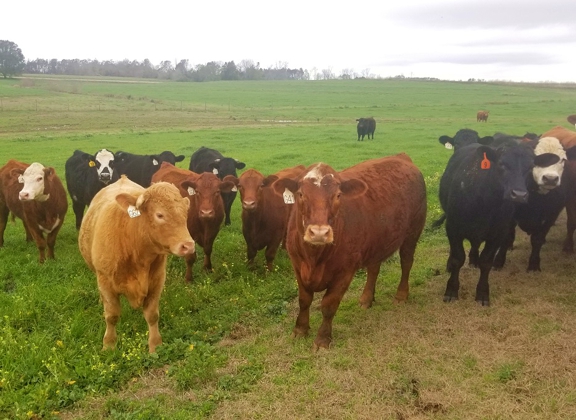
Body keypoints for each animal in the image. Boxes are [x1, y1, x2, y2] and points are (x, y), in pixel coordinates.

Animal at [77, 176, 195, 352]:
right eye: (160, 215)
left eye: (185, 214)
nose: (188, 245)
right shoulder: (105, 281)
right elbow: (111, 316)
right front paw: (109, 345)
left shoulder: (157, 280)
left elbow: (152, 315)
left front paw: (155, 345)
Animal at [272, 156, 426, 350]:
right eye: (300, 194)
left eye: (338, 195)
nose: (319, 233)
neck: (314, 259)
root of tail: (401, 156)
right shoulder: (298, 266)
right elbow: (304, 300)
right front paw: (300, 330)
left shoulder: (345, 271)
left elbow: (329, 305)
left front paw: (322, 339)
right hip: (376, 242)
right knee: (373, 269)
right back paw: (366, 299)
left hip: (412, 232)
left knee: (406, 262)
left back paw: (401, 295)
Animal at [440, 141, 536, 306]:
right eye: (502, 164)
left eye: (530, 167)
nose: (519, 195)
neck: (485, 202)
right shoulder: (453, 228)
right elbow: (458, 258)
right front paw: (451, 290)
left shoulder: (498, 234)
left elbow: (486, 262)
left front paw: (483, 293)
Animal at [492, 136, 568, 270]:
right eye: (535, 160)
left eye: (563, 159)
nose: (550, 179)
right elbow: (506, 237)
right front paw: (498, 261)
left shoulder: (551, 216)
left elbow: (537, 239)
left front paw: (534, 264)